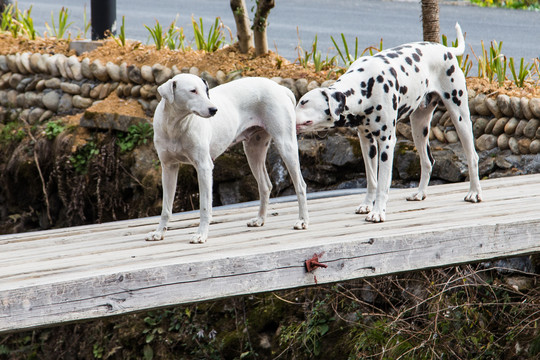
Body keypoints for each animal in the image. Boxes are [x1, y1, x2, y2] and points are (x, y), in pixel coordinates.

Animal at [147, 73, 308, 243]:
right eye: (193, 91)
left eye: (206, 90)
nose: (214, 109)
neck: (175, 125)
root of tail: (280, 88)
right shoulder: (168, 168)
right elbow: (166, 208)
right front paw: (158, 233)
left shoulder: (204, 167)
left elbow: (204, 206)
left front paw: (201, 234)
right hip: (253, 150)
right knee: (265, 185)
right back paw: (259, 220)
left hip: (286, 146)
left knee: (300, 185)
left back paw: (302, 221)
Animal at [298, 22, 484, 222]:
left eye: (303, 102)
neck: (363, 86)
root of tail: (446, 49)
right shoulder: (367, 143)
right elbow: (372, 180)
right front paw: (367, 205)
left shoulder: (386, 143)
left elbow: (382, 183)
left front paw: (378, 212)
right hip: (418, 129)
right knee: (427, 161)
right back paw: (420, 193)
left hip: (460, 118)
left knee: (472, 156)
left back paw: (474, 193)